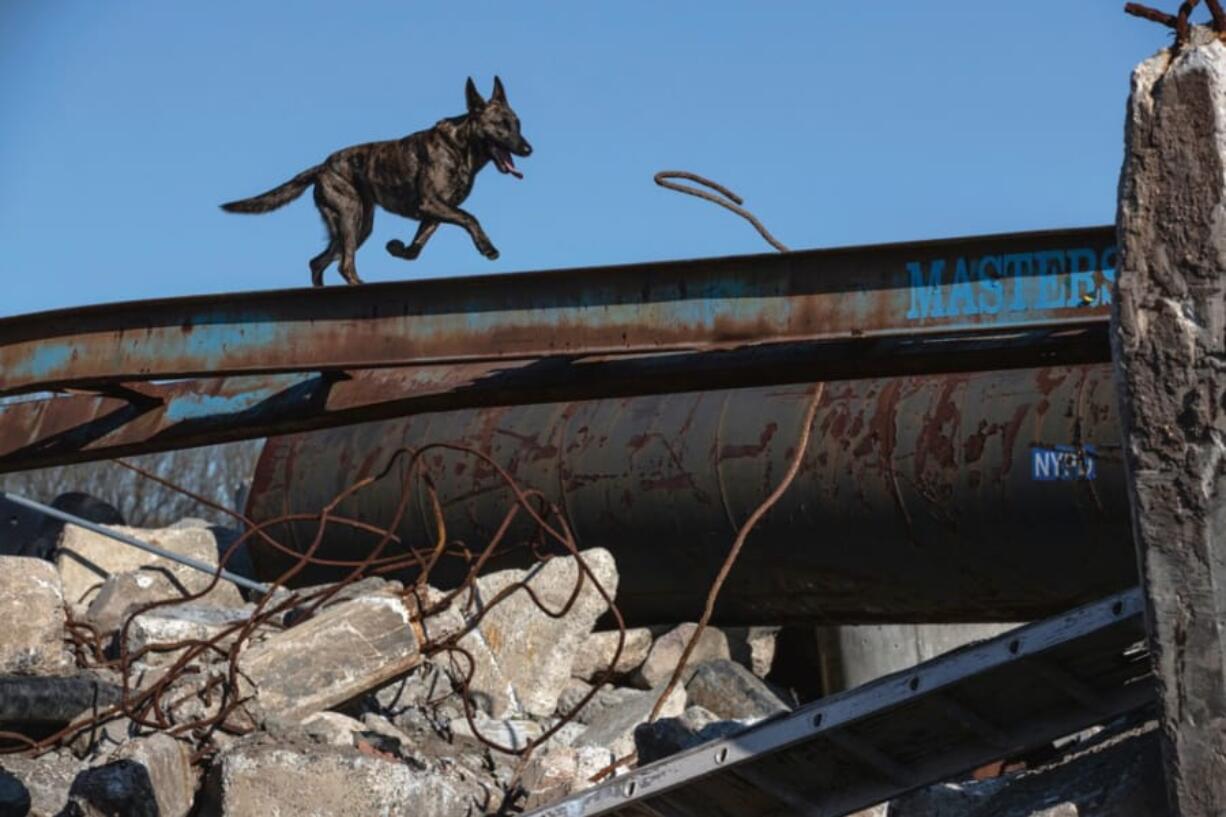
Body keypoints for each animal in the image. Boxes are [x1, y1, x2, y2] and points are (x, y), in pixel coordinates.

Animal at [223, 76, 529, 284]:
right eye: (501, 126)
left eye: (517, 124)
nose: (528, 149)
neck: (460, 146)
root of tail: (321, 167)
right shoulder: (432, 204)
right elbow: (470, 217)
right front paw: (487, 248)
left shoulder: (433, 213)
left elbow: (414, 250)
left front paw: (398, 248)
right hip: (351, 216)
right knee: (344, 265)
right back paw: (358, 284)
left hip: (359, 225)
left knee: (317, 262)